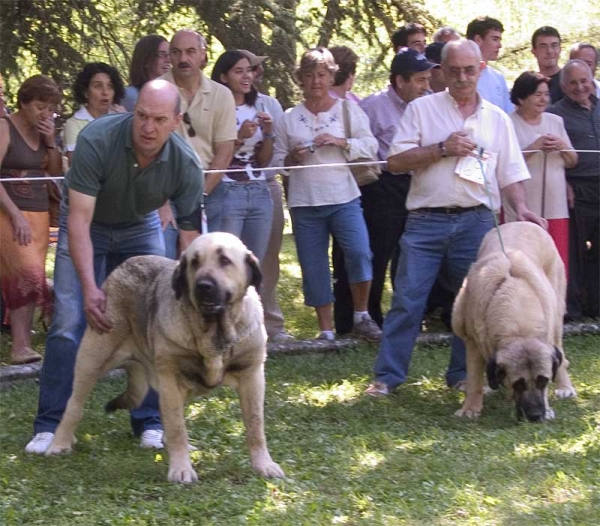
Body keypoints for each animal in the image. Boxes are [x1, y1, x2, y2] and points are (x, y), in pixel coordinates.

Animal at [45, 233, 284, 484]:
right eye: (194, 262)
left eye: (225, 260)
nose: (203, 286)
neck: (213, 331)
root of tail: (123, 265)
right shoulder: (171, 378)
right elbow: (177, 427)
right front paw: (181, 469)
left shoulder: (252, 376)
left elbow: (255, 426)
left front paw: (263, 465)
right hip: (93, 359)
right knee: (74, 404)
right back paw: (59, 443)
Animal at [454, 223, 576, 424]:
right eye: (518, 384)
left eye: (543, 381)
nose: (535, 416)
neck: (519, 328)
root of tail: (522, 222)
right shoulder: (472, 342)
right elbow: (474, 379)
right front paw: (470, 408)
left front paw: (548, 408)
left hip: (558, 313)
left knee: (562, 355)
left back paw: (565, 387)